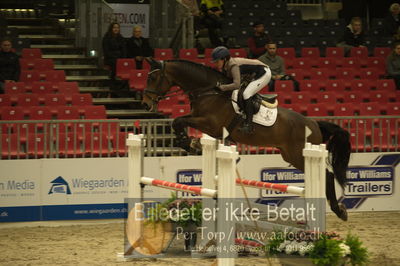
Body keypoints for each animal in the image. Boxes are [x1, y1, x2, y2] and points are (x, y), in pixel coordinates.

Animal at [143, 58, 350, 220]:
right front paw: (190, 144)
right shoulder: (205, 124)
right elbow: (178, 122)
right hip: (291, 155)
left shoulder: (210, 124)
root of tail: (313, 123)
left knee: (328, 174)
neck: (209, 91)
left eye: (153, 78)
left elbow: (178, 121)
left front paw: (190, 143)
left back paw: (338, 210)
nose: (145, 103)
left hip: (300, 154)